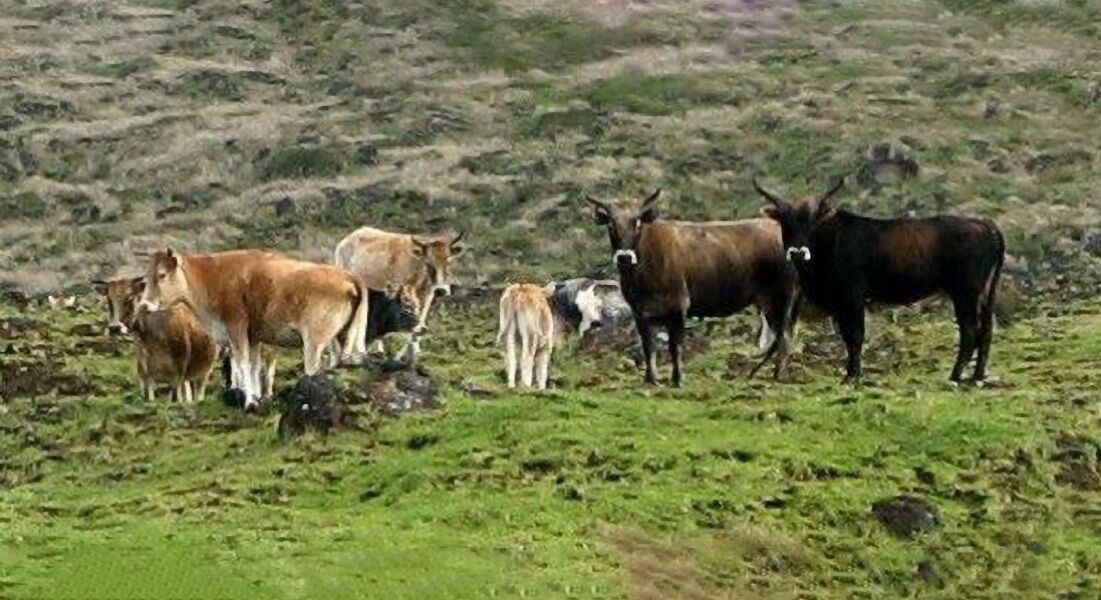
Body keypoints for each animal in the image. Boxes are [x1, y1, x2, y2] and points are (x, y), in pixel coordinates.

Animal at [139, 249, 371, 410]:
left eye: (162, 275)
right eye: (146, 277)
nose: (144, 305)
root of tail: (348, 276)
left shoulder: (236, 328)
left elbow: (242, 365)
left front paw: (249, 401)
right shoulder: (253, 337)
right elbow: (253, 366)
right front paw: (257, 398)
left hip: (314, 340)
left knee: (313, 368)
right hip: (339, 338)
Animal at [333, 227, 465, 363]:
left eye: (448, 261)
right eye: (427, 263)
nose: (440, 290)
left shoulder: (426, 298)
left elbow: (419, 322)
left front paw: (416, 352)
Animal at [587, 190, 799, 386]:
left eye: (637, 223)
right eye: (611, 225)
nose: (624, 256)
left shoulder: (678, 305)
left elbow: (675, 346)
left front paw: (677, 379)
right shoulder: (641, 311)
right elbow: (648, 346)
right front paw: (650, 379)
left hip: (780, 296)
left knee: (783, 335)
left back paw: (776, 374)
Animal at [753, 177, 1005, 384]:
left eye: (813, 221)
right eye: (785, 222)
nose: (797, 252)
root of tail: (985, 225)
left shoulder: (852, 297)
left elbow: (855, 336)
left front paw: (852, 376)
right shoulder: (840, 303)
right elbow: (847, 337)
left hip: (966, 291)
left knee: (970, 330)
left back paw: (956, 375)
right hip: (982, 292)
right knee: (986, 329)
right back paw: (977, 375)